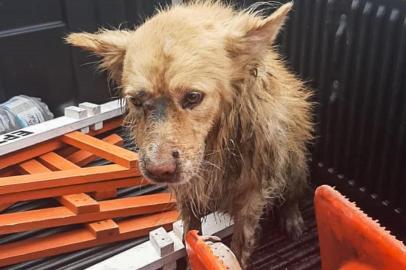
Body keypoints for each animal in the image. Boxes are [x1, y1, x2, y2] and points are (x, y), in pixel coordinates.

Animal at [68, 1, 312, 268]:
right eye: (136, 100)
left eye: (193, 97)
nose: (159, 171)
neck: (217, 146)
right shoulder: (187, 195)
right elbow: (189, 235)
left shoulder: (252, 199)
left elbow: (240, 246)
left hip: (293, 165)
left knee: (293, 194)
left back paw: (292, 219)